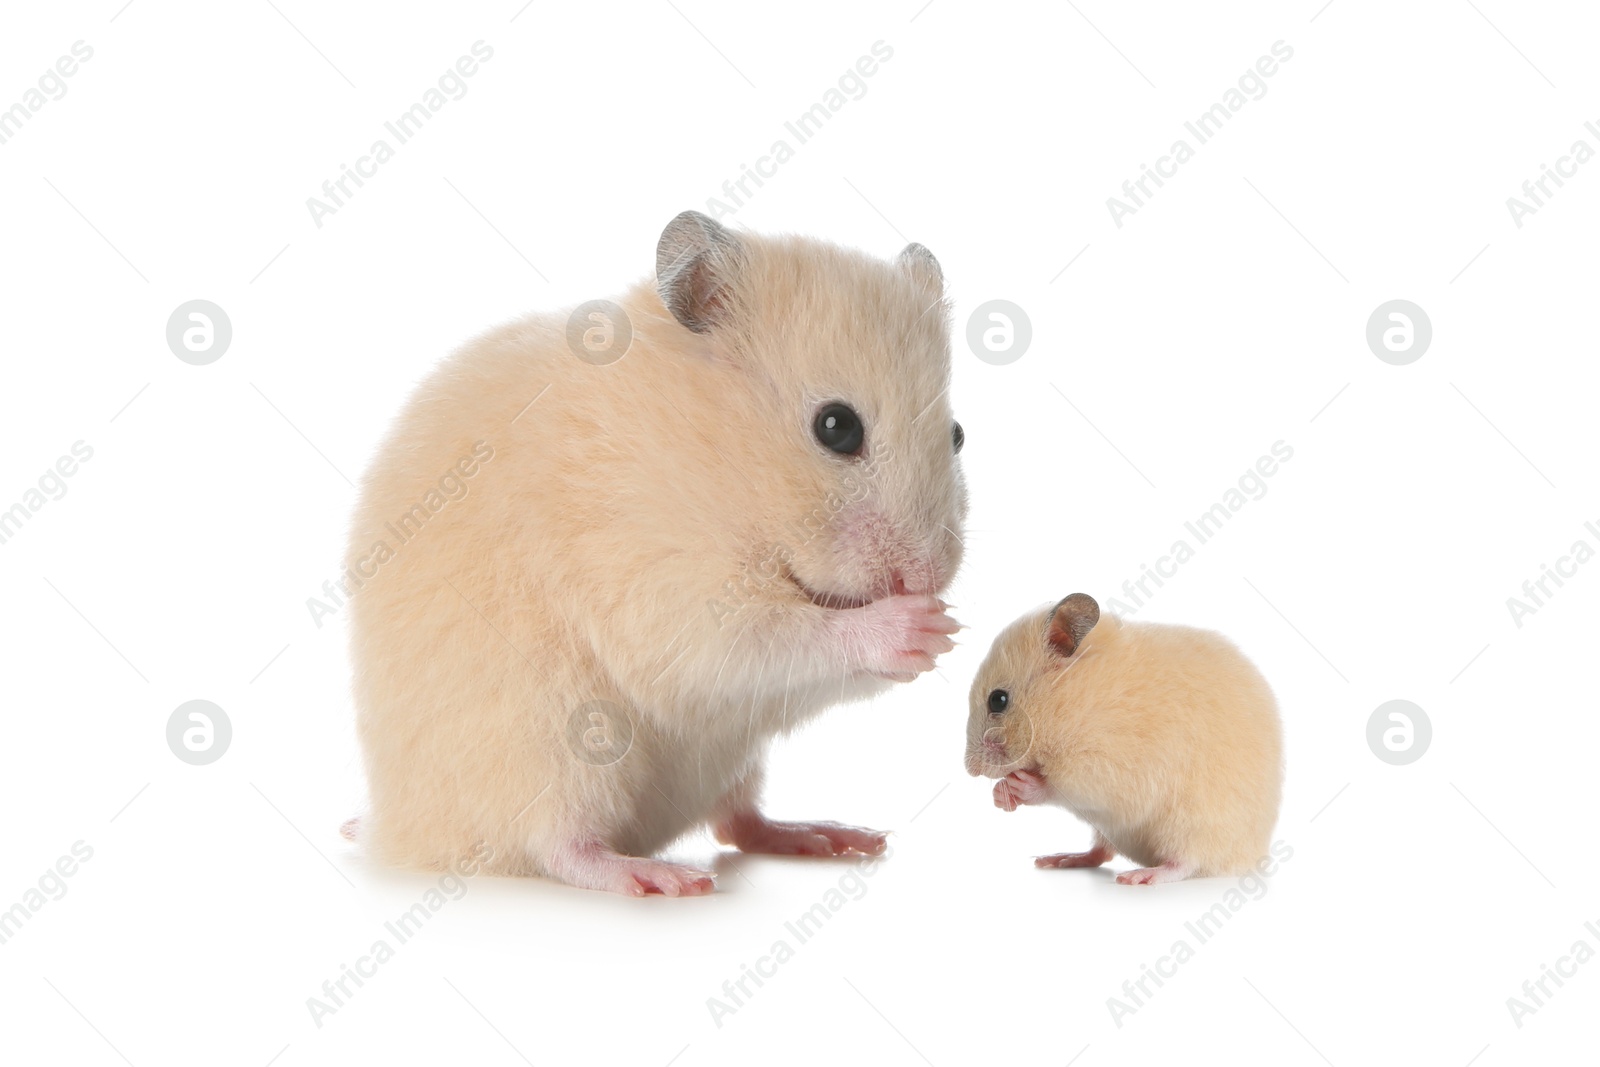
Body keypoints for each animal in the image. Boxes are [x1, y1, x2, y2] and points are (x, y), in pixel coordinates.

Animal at [352, 207, 966, 895]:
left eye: (957, 435)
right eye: (836, 427)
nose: (926, 576)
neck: (718, 464)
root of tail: (397, 830)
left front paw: (943, 627)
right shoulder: (665, 596)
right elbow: (776, 636)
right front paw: (924, 627)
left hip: (733, 760)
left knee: (737, 821)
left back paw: (832, 836)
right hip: (553, 752)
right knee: (561, 847)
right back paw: (662, 878)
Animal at [960, 591, 1286, 883]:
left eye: (998, 700)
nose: (970, 770)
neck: (1070, 702)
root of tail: (1253, 856)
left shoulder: (1104, 769)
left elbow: (1054, 788)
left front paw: (1017, 786)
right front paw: (1000, 796)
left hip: (1192, 828)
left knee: (1185, 864)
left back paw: (1139, 876)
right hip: (1111, 830)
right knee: (1101, 852)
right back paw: (1058, 859)